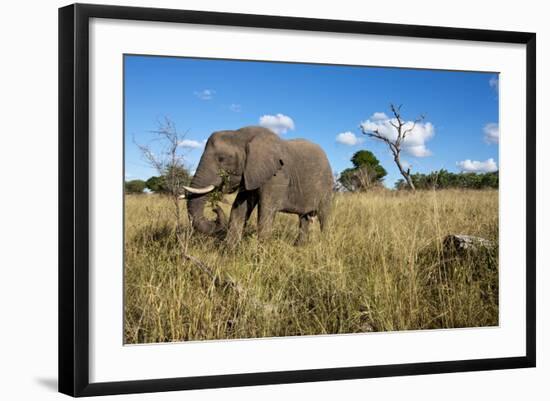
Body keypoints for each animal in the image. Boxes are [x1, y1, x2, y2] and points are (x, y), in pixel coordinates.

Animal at [183, 126, 334, 244]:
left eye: (222, 159)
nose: (215, 209)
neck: (241, 135)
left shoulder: (277, 175)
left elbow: (265, 211)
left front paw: (261, 256)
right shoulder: (249, 174)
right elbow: (239, 208)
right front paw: (229, 251)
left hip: (327, 186)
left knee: (324, 216)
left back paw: (324, 244)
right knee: (304, 218)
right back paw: (298, 247)